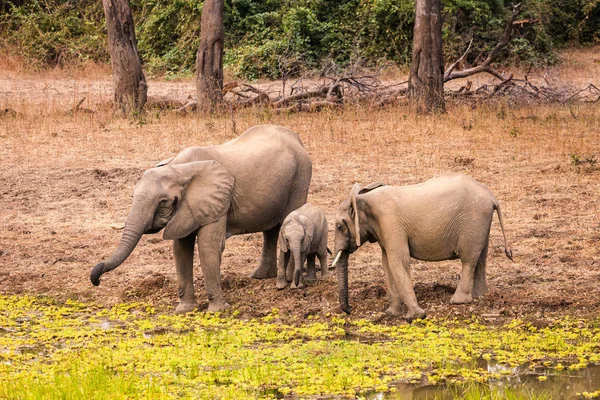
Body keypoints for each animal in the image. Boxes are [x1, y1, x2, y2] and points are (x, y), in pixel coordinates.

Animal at [91, 125, 314, 312]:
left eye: (163, 202)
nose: (96, 280)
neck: (178, 168)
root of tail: (296, 138)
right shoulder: (186, 208)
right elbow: (181, 249)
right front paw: (184, 310)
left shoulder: (217, 202)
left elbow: (208, 246)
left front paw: (217, 310)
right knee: (272, 229)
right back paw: (260, 276)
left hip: (300, 177)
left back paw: (289, 283)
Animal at [330, 173, 512, 324]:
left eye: (339, 227)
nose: (349, 309)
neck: (363, 198)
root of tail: (492, 197)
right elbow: (387, 264)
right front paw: (391, 314)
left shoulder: (390, 223)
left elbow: (398, 261)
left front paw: (415, 317)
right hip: (481, 224)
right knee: (481, 258)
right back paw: (480, 295)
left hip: (473, 222)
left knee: (468, 260)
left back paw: (458, 301)